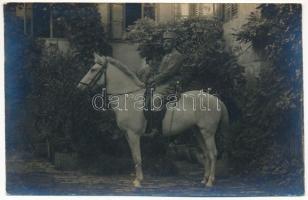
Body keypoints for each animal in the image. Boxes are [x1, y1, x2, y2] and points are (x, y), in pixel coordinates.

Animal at [77, 53, 229, 188]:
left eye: (93, 69)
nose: (79, 87)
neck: (128, 97)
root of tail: (216, 100)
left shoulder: (133, 134)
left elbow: (137, 157)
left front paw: (138, 181)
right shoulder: (127, 135)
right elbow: (134, 156)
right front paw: (137, 179)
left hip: (208, 132)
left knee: (213, 153)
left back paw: (210, 182)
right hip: (198, 131)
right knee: (206, 154)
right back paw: (204, 179)